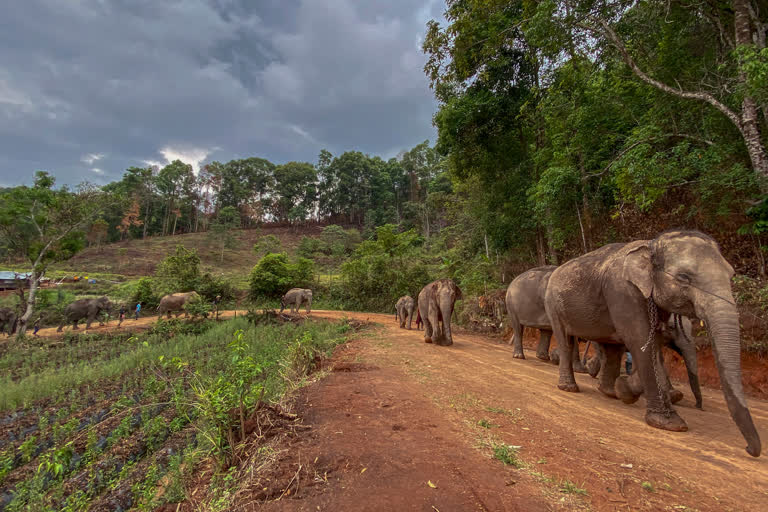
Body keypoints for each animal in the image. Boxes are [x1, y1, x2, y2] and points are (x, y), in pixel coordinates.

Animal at [544, 230, 760, 458]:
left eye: (731, 275)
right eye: (684, 277)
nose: (749, 449)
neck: (651, 245)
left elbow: (652, 347)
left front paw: (625, 390)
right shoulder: (623, 292)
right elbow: (639, 341)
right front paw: (670, 423)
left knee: (611, 349)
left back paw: (609, 392)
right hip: (553, 304)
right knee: (566, 340)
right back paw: (569, 388)